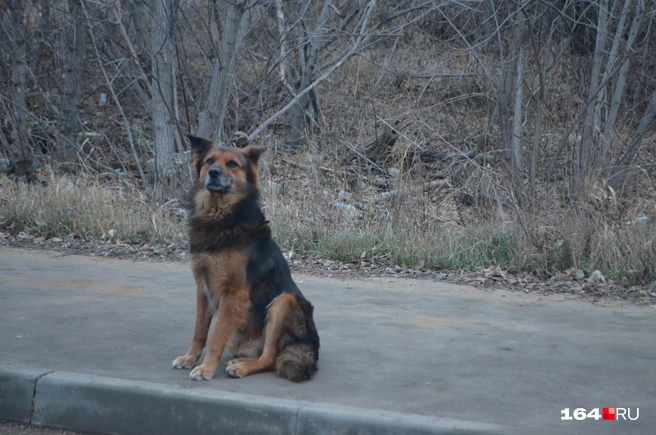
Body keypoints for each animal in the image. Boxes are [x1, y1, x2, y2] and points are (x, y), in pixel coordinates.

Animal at [173, 135, 320, 382]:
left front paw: (206, 368)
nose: (213, 173)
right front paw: (190, 358)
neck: (219, 216)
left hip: (283, 302)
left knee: (269, 358)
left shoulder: (233, 293)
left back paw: (242, 367)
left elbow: (216, 336)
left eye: (233, 164)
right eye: (210, 160)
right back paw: (238, 361)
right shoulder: (203, 289)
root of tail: (312, 349)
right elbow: (200, 331)